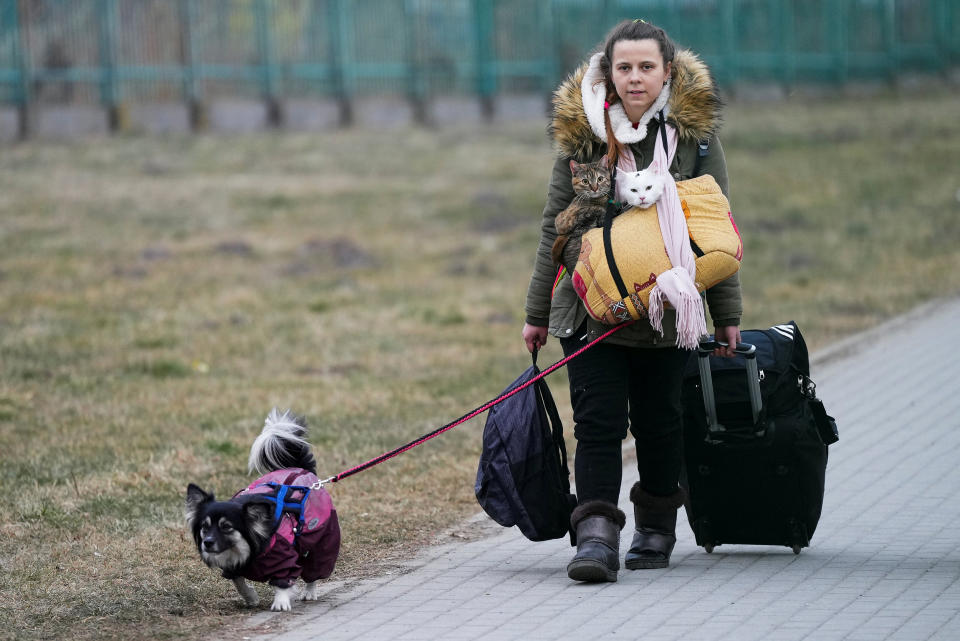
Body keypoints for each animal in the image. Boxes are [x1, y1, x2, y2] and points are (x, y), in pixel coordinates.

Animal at [185, 410, 342, 608]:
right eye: (204, 527)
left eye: (226, 527)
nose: (207, 542)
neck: (248, 549)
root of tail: (302, 470)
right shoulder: (233, 567)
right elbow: (238, 581)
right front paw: (251, 597)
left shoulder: (283, 558)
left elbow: (283, 580)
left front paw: (281, 602)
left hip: (322, 538)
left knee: (315, 568)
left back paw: (309, 592)